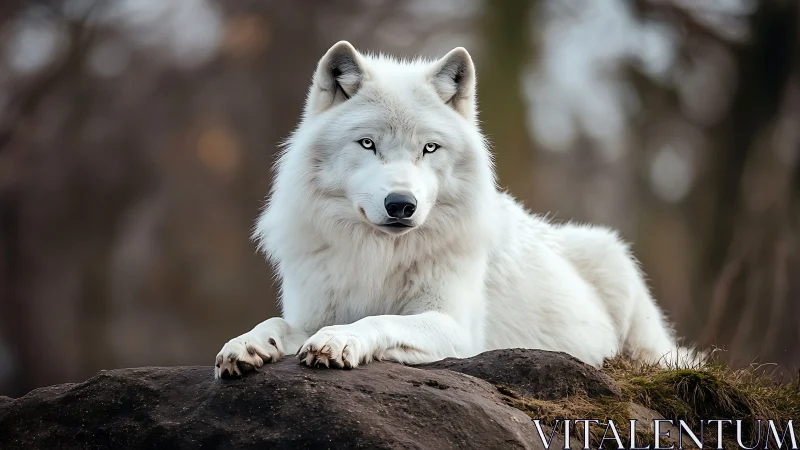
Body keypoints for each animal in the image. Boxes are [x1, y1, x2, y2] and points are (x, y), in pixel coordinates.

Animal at [214, 41, 689, 378]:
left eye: (429, 148)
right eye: (368, 144)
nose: (401, 204)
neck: (377, 256)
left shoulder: (456, 329)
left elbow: (378, 319)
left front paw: (338, 342)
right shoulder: (310, 313)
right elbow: (277, 322)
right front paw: (245, 345)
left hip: (619, 272)